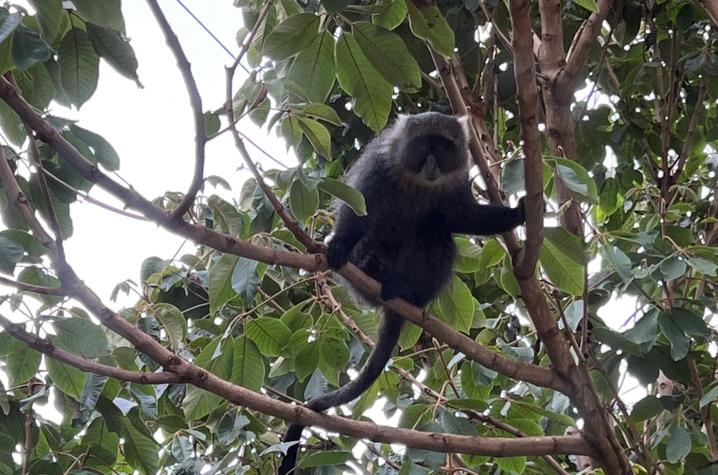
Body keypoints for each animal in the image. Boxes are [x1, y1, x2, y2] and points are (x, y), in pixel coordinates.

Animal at [278, 112, 524, 475]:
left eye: (443, 146)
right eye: (423, 146)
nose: (432, 164)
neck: (418, 181)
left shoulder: (455, 180)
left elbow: (460, 216)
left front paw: (519, 213)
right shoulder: (378, 169)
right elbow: (359, 208)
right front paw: (340, 244)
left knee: (435, 230)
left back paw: (406, 291)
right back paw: (371, 267)